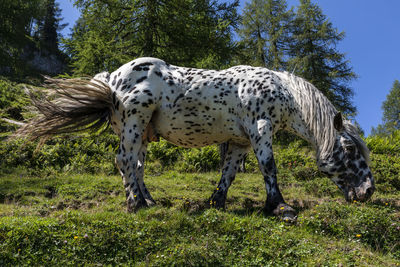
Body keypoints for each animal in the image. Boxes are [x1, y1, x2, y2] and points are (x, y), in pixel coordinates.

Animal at [17, 57, 376, 222]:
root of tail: (112, 78)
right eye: (349, 148)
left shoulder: (240, 141)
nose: (368, 191)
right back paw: (135, 204)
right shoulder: (260, 129)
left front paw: (216, 202)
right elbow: (269, 167)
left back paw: (148, 200)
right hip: (135, 121)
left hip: (142, 131)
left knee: (136, 166)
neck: (279, 90)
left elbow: (229, 173)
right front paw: (280, 207)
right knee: (124, 161)